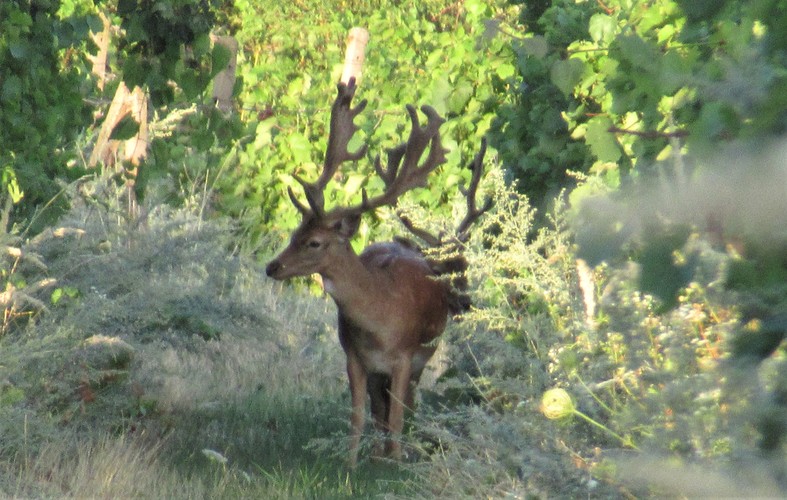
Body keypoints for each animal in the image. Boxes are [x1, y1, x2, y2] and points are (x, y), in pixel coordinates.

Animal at [264, 78, 490, 468]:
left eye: (314, 242)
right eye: (294, 234)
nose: (272, 266)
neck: (379, 317)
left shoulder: (404, 357)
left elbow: (397, 414)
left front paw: (396, 463)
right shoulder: (354, 356)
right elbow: (358, 413)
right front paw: (351, 463)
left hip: (424, 355)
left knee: (405, 406)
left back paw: (396, 452)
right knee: (378, 408)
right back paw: (376, 452)